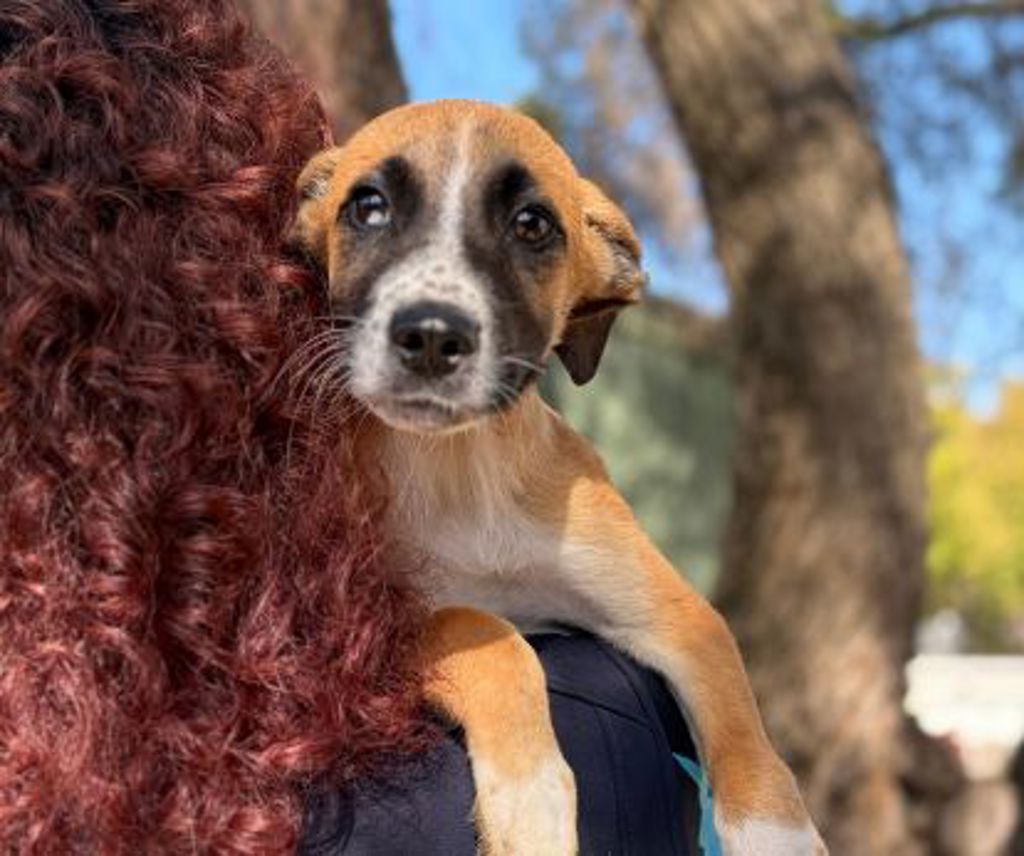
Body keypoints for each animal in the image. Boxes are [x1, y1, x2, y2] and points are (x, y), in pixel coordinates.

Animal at [290, 100, 827, 856]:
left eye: (533, 224)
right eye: (368, 207)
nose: (431, 336)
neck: (466, 467)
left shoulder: (673, 612)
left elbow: (740, 717)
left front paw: (778, 834)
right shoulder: (369, 630)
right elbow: (484, 628)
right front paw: (531, 799)